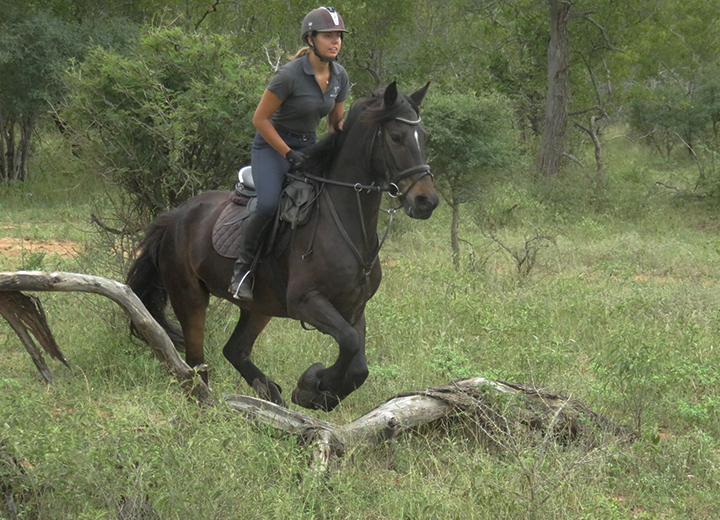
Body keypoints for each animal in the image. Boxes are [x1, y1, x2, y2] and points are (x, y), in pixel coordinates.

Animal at [126, 82, 439, 412]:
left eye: (424, 137)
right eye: (396, 137)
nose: (426, 201)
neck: (345, 221)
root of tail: (175, 216)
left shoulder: (354, 307)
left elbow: (358, 364)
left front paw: (317, 391)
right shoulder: (306, 302)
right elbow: (349, 343)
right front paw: (312, 385)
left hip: (259, 306)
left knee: (234, 350)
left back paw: (268, 393)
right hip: (190, 298)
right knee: (197, 365)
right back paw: (213, 406)